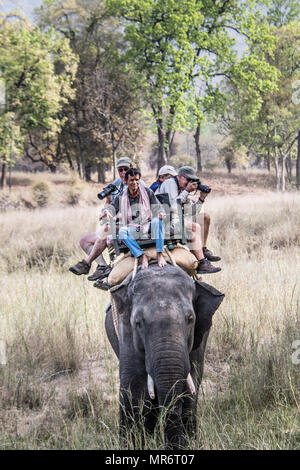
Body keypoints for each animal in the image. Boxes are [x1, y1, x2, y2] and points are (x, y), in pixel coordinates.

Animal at [104, 262, 224, 450]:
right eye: (138, 322)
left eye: (190, 319)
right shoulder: (126, 334)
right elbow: (133, 391)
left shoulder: (200, 336)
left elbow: (189, 391)